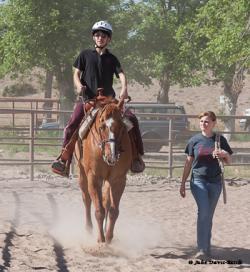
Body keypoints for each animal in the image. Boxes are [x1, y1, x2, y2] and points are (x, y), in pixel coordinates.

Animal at [74, 99, 132, 243]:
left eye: (121, 127)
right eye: (101, 127)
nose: (112, 155)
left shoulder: (118, 180)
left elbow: (113, 211)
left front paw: (109, 237)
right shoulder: (94, 177)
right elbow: (99, 210)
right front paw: (101, 239)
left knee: (106, 202)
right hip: (82, 173)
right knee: (87, 199)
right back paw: (89, 228)